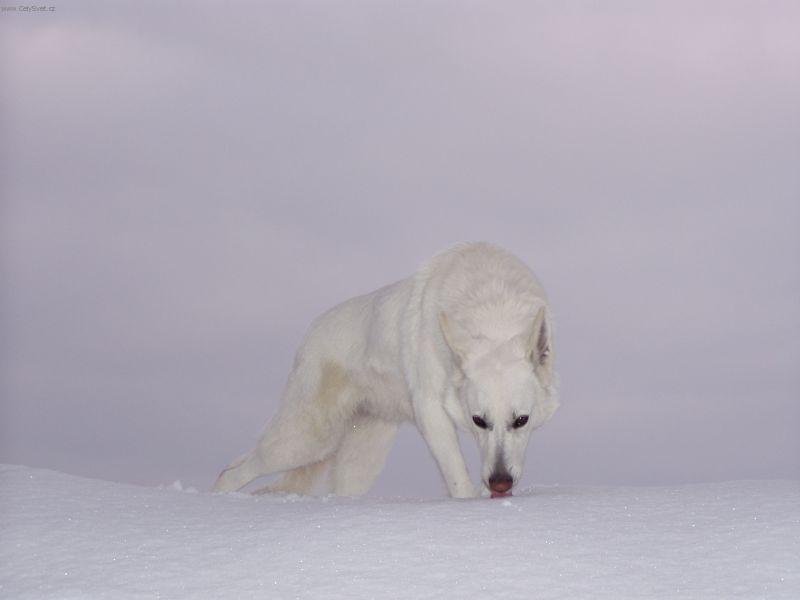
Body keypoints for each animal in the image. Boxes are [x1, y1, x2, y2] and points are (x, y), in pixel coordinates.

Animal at [216, 241, 560, 500]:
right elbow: (458, 478)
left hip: (360, 458)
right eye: (479, 420)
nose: (500, 483)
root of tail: (310, 334)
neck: (492, 310)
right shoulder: (430, 411)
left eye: (521, 420)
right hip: (304, 441)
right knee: (232, 471)